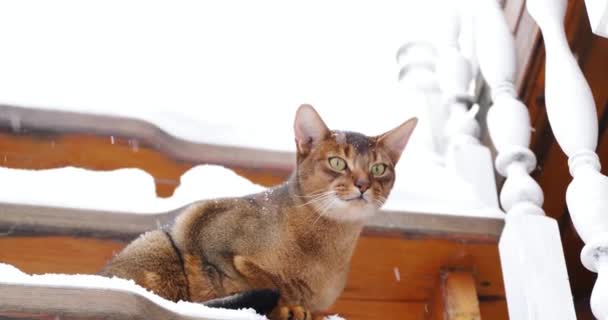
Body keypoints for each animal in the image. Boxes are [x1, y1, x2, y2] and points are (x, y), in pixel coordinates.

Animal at [101, 104, 418, 318]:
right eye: (337, 162)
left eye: (379, 168)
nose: (363, 185)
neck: (324, 250)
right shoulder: (208, 230)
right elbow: (259, 278)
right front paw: (288, 305)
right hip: (158, 245)